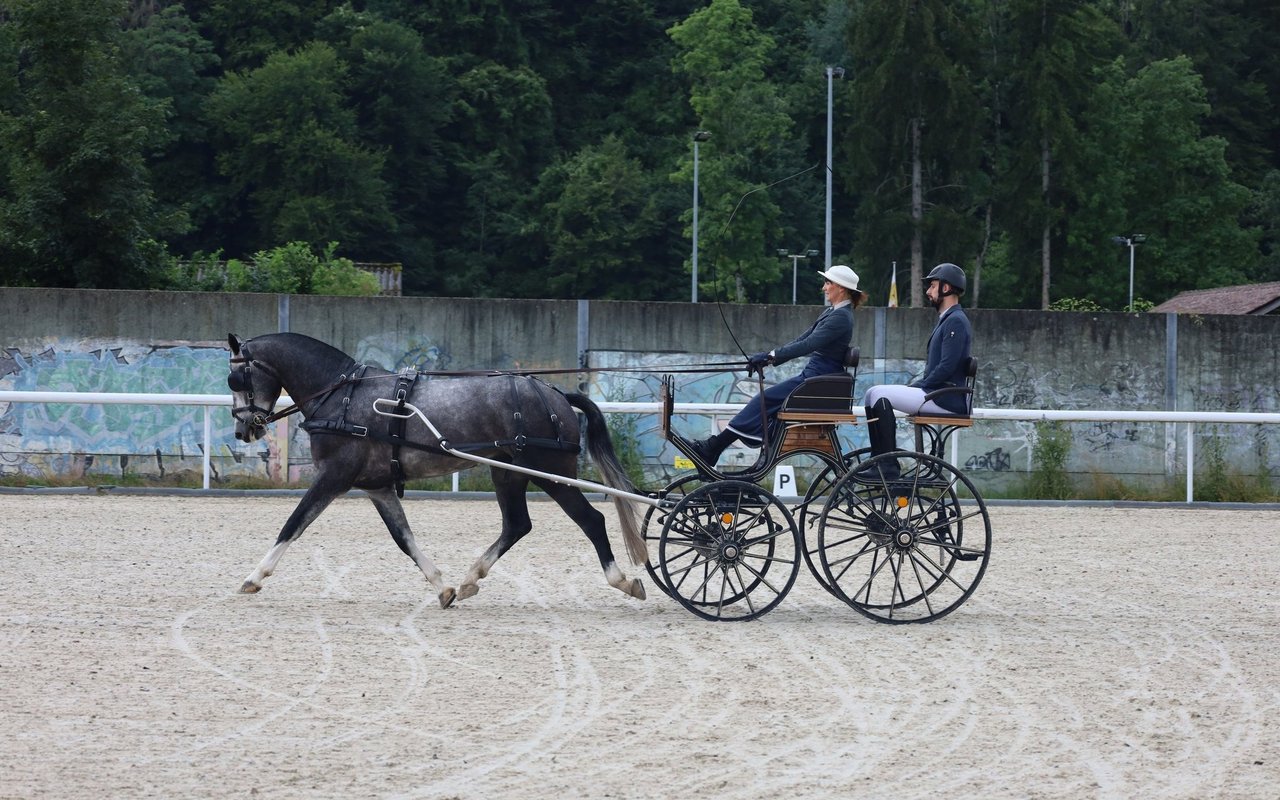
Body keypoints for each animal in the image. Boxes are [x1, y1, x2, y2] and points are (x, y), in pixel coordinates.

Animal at [225, 332, 645, 609]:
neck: (340, 395)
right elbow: (404, 538)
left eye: (237, 378)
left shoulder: (334, 477)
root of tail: (555, 394)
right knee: (517, 525)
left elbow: (293, 524)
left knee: (590, 520)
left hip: (549, 472)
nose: (244, 429)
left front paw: (253, 577)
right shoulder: (377, 486)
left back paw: (623, 580)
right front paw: (441, 587)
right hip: (507, 473)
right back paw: (470, 579)